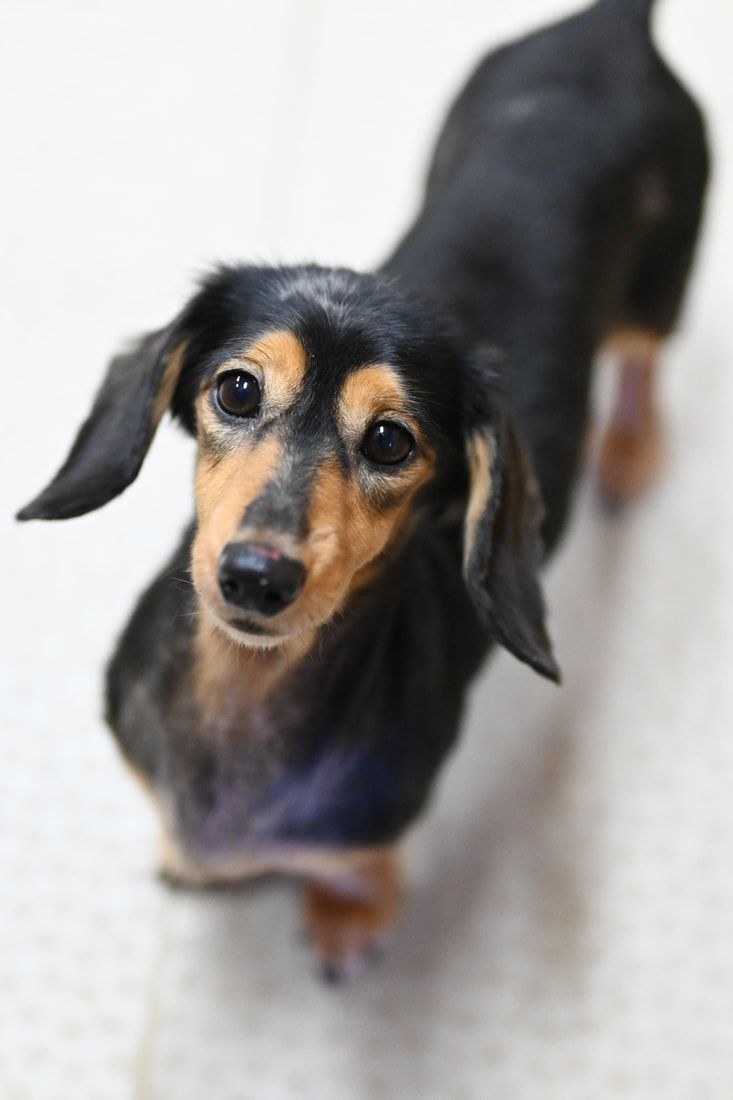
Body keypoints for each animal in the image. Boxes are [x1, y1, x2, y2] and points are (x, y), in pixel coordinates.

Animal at [18, 0, 708, 981]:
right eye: (235, 390)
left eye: (390, 440)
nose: (256, 577)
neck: (246, 691)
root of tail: (614, 27)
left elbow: (356, 866)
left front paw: (349, 913)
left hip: (662, 283)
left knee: (644, 356)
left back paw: (629, 451)